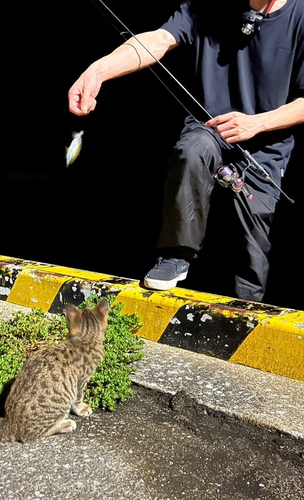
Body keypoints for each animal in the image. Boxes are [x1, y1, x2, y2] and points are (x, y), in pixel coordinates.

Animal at [0, 296, 108, 446]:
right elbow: (79, 397)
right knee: (31, 435)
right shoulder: (81, 380)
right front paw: (81, 408)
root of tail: (10, 423)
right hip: (61, 403)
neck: (85, 338)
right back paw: (66, 424)